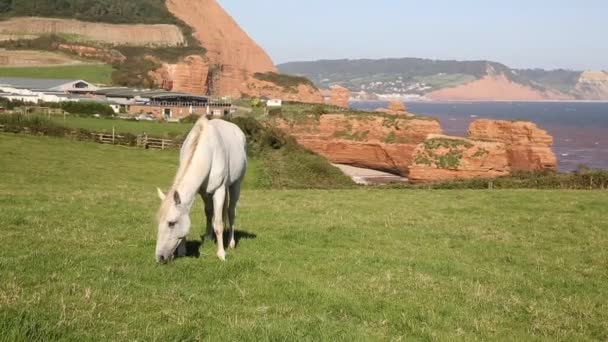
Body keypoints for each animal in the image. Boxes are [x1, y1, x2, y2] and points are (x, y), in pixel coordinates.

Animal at [156, 116, 248, 264]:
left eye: (171, 223)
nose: (160, 257)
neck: (208, 151)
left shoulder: (219, 190)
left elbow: (219, 223)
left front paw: (221, 254)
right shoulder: (202, 192)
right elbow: (207, 213)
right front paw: (183, 251)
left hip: (235, 185)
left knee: (231, 211)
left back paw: (231, 243)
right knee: (211, 211)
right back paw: (210, 237)